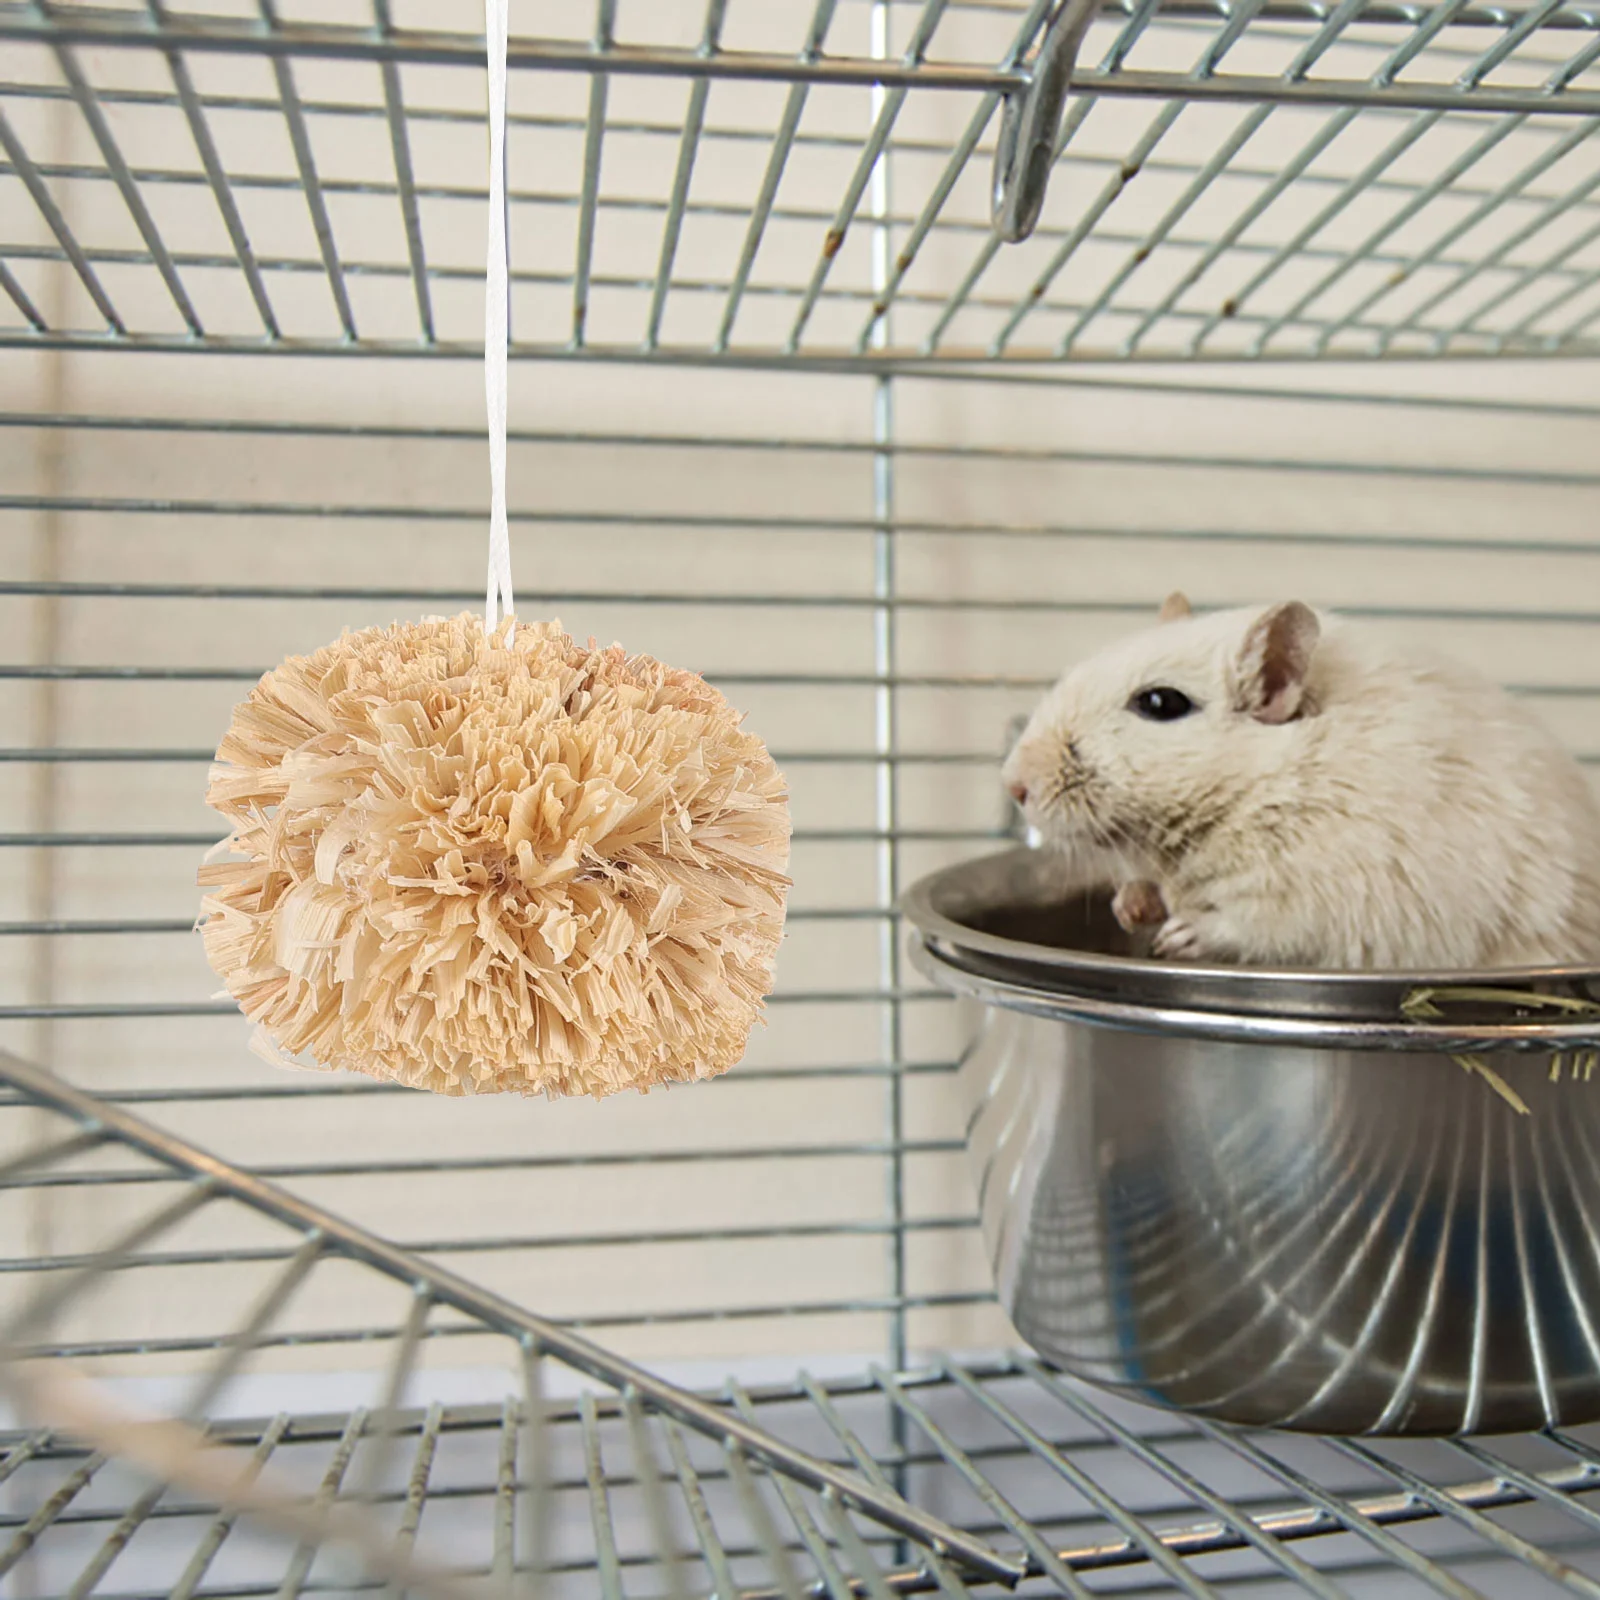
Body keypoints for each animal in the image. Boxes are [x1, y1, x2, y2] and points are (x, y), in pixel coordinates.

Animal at [1002, 593, 1600, 970]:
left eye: (1159, 703)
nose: (1014, 786)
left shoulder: (1327, 897)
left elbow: (1255, 927)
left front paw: (1183, 935)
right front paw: (1132, 907)